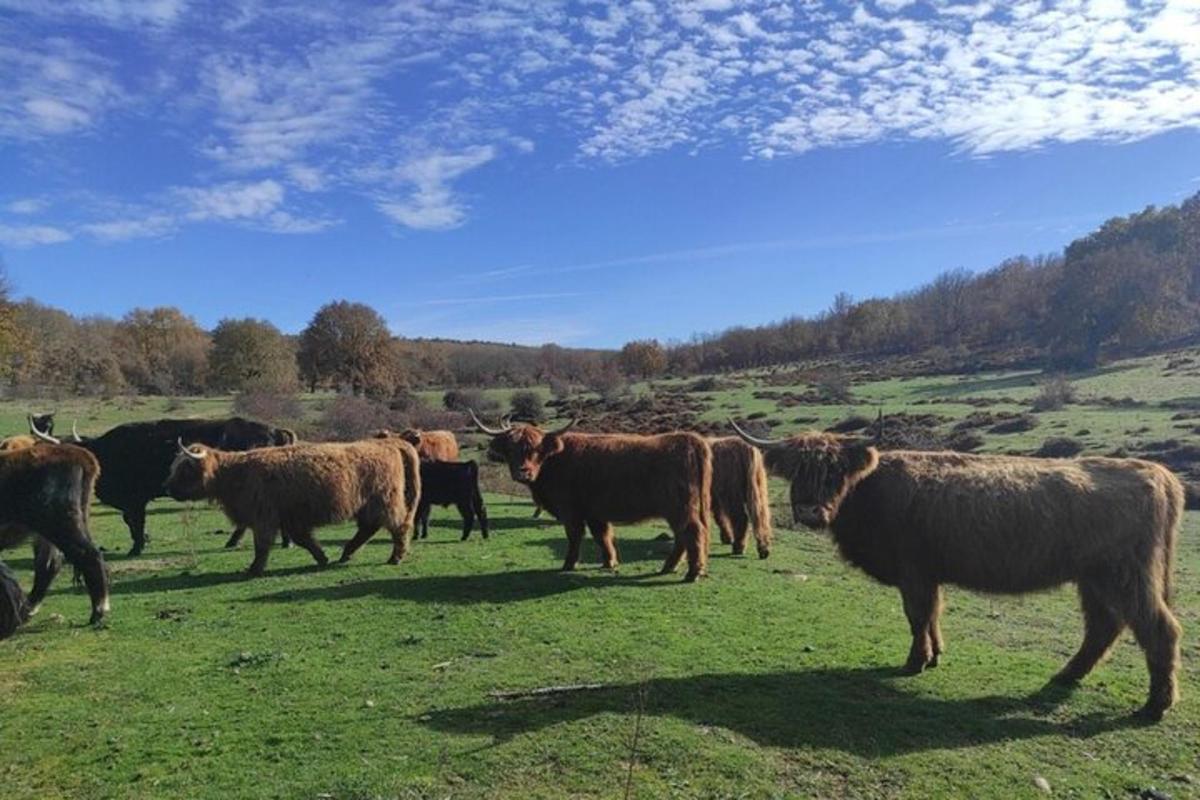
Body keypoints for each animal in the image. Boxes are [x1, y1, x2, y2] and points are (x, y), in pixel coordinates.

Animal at [32, 417, 295, 554]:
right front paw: (142, 542)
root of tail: (273, 429)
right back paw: (283, 541)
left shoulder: (135, 500)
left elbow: (135, 522)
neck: (108, 453)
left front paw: (137, 547)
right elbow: (130, 522)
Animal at [164, 438, 417, 575]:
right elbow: (303, 539)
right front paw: (322, 557)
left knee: (398, 527)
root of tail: (388, 443)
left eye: (185, 469)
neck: (235, 473)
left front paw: (254, 568)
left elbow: (262, 545)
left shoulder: (263, 517)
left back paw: (395, 557)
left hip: (385, 500)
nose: (167, 488)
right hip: (369, 505)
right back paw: (346, 554)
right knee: (368, 528)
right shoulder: (289, 518)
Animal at [468, 412, 710, 582]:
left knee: (692, 532)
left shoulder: (570, 510)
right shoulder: (595, 513)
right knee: (682, 536)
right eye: (510, 449)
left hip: (680, 507)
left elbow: (575, 536)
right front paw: (609, 563)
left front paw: (569, 565)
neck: (553, 462)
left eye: (535, 449)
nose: (522, 472)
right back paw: (669, 567)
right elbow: (602, 536)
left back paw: (692, 573)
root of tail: (691, 439)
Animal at [729, 422, 1180, 724]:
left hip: (1124, 574)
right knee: (1103, 626)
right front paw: (935, 655)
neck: (870, 493)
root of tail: (1158, 473)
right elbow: (932, 615)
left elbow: (917, 616)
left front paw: (914, 662)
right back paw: (1067, 676)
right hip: (1095, 578)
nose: (809, 512)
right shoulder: (929, 573)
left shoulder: (914, 571)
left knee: (1159, 629)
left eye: (834, 471)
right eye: (796, 471)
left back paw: (1155, 705)